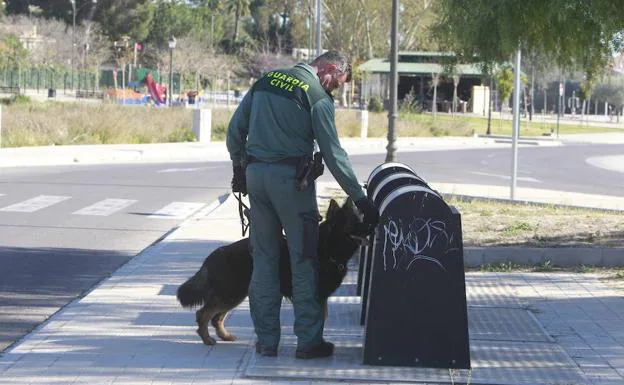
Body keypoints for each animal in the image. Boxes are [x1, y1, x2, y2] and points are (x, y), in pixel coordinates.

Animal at [176, 196, 364, 344]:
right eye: (352, 222)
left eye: (359, 219)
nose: (369, 226)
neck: (327, 247)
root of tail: (215, 255)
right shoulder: (318, 297)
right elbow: (320, 322)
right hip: (231, 294)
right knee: (203, 314)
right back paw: (207, 339)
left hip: (234, 295)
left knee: (215, 318)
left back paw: (224, 336)